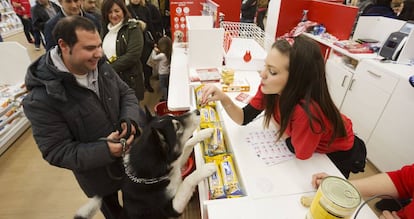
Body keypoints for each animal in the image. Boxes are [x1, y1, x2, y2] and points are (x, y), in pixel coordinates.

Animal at [75, 108, 217, 218]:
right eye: (177, 126)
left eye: (173, 116)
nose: (198, 111)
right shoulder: (172, 208)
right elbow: (188, 180)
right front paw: (206, 169)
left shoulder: (176, 164)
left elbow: (188, 143)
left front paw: (205, 133)